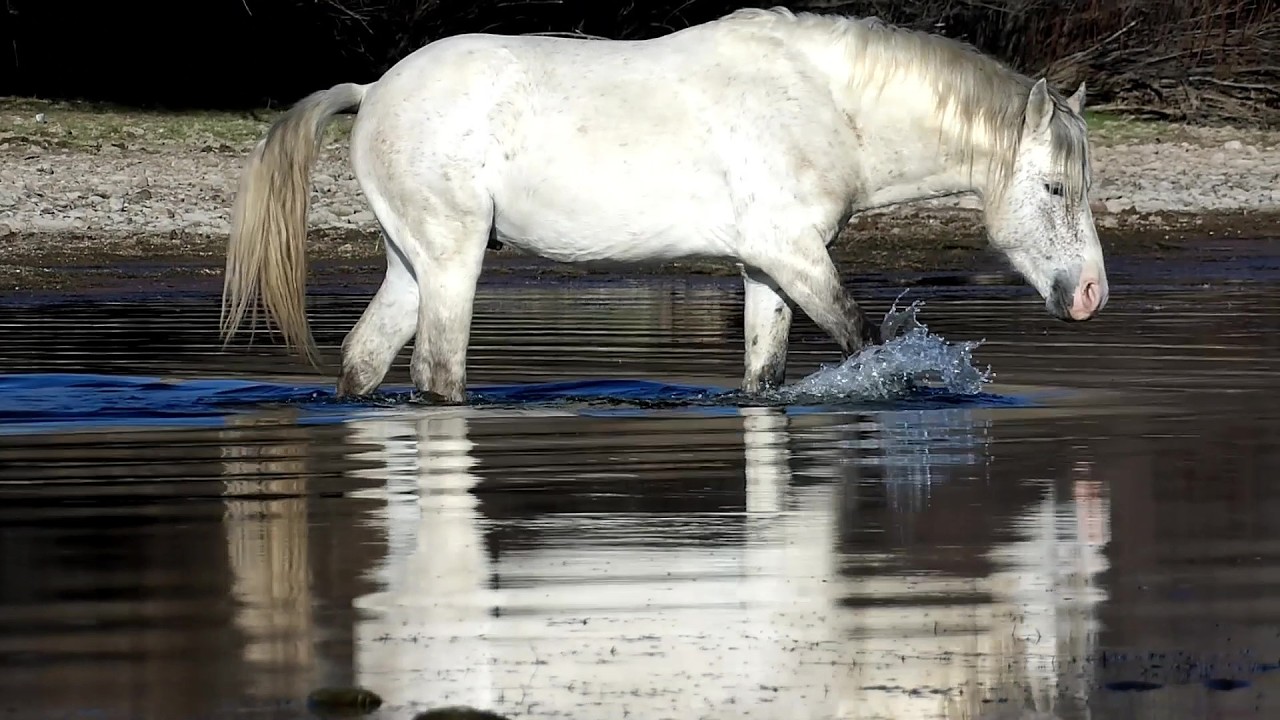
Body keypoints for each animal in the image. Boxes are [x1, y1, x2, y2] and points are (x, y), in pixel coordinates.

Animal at [220, 7, 1108, 404]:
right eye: (1056, 188)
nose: (1091, 294)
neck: (827, 104)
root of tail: (373, 90)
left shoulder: (767, 268)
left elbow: (763, 378)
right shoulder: (795, 255)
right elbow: (865, 342)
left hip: (412, 264)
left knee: (365, 362)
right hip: (450, 262)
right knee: (438, 377)